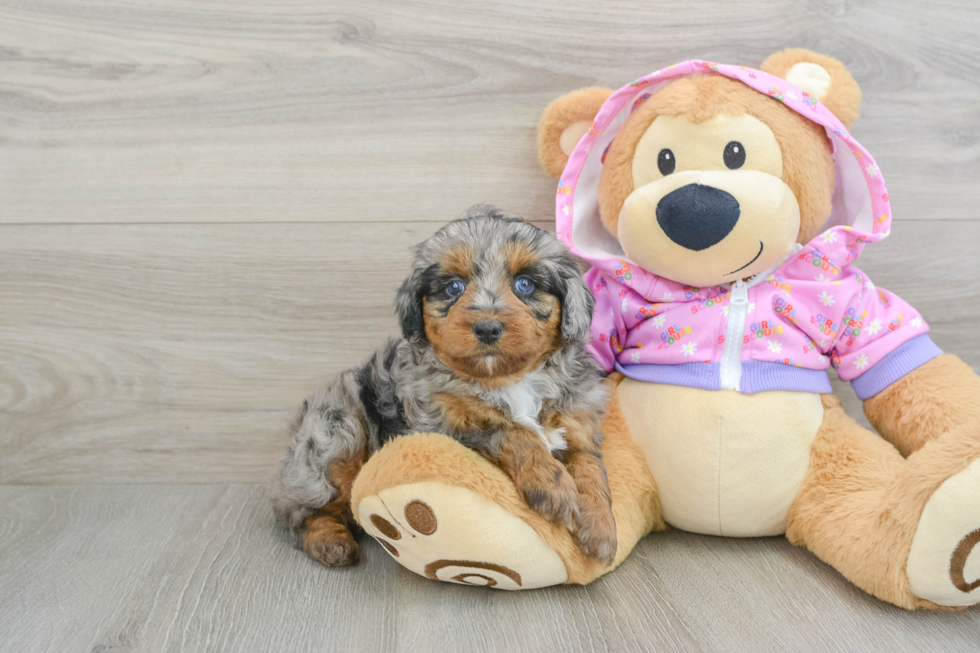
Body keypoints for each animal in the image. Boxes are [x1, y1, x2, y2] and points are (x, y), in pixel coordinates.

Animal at [272, 202, 616, 564]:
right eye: (453, 287)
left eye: (525, 284)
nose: (487, 328)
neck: (508, 379)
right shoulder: (443, 427)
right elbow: (512, 431)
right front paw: (553, 486)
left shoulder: (579, 423)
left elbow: (591, 468)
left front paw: (601, 528)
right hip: (335, 436)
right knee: (301, 513)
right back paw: (330, 541)